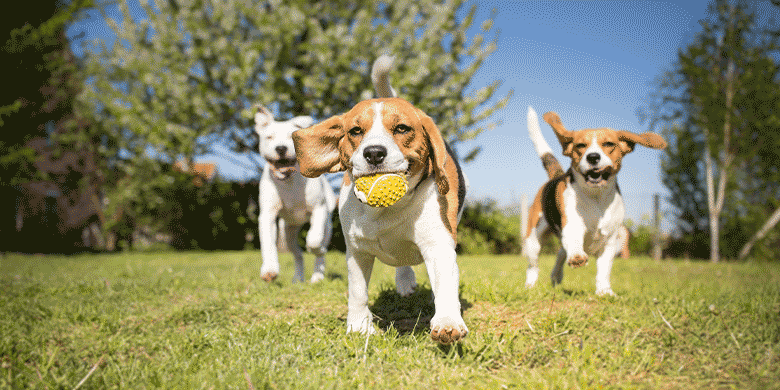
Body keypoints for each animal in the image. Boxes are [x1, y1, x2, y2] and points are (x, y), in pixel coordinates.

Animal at [256, 106, 336, 284]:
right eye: (269, 137)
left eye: (290, 136)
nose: (281, 148)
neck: (289, 180)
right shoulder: (267, 215)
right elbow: (268, 243)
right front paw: (269, 270)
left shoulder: (318, 209)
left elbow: (314, 240)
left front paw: (316, 248)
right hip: (288, 233)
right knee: (298, 254)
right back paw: (298, 278)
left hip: (327, 226)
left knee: (320, 249)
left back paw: (317, 276)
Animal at [290, 55, 466, 344]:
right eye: (355, 131)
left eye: (402, 128)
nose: (373, 153)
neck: (386, 211)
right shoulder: (356, 251)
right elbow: (358, 292)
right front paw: (359, 326)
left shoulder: (438, 245)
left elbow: (444, 286)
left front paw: (447, 321)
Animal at [524, 106, 664, 296]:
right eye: (580, 146)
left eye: (609, 144)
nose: (592, 157)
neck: (596, 197)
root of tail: (556, 176)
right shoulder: (573, 225)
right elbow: (574, 242)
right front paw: (577, 257)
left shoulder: (611, 240)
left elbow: (604, 270)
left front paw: (605, 291)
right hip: (533, 239)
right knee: (533, 266)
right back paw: (530, 285)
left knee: (561, 253)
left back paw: (556, 276)